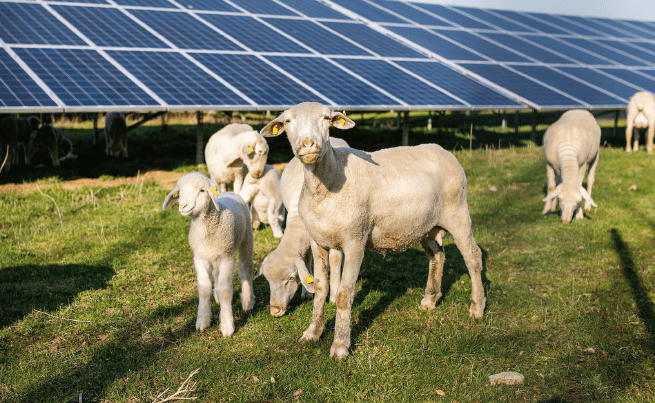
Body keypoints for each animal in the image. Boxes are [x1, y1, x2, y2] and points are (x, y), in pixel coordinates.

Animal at [162, 172, 255, 337]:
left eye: (202, 191)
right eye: (179, 192)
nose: (183, 206)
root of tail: (230, 192)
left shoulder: (226, 258)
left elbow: (225, 290)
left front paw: (227, 326)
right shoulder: (199, 258)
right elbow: (204, 288)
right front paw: (203, 321)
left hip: (246, 240)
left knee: (246, 269)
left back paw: (247, 301)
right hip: (215, 256)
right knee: (217, 276)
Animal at [255, 137, 349, 317]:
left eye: (291, 278)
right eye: (268, 281)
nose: (275, 311)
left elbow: (334, 259)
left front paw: (333, 296)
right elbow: (307, 260)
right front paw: (307, 293)